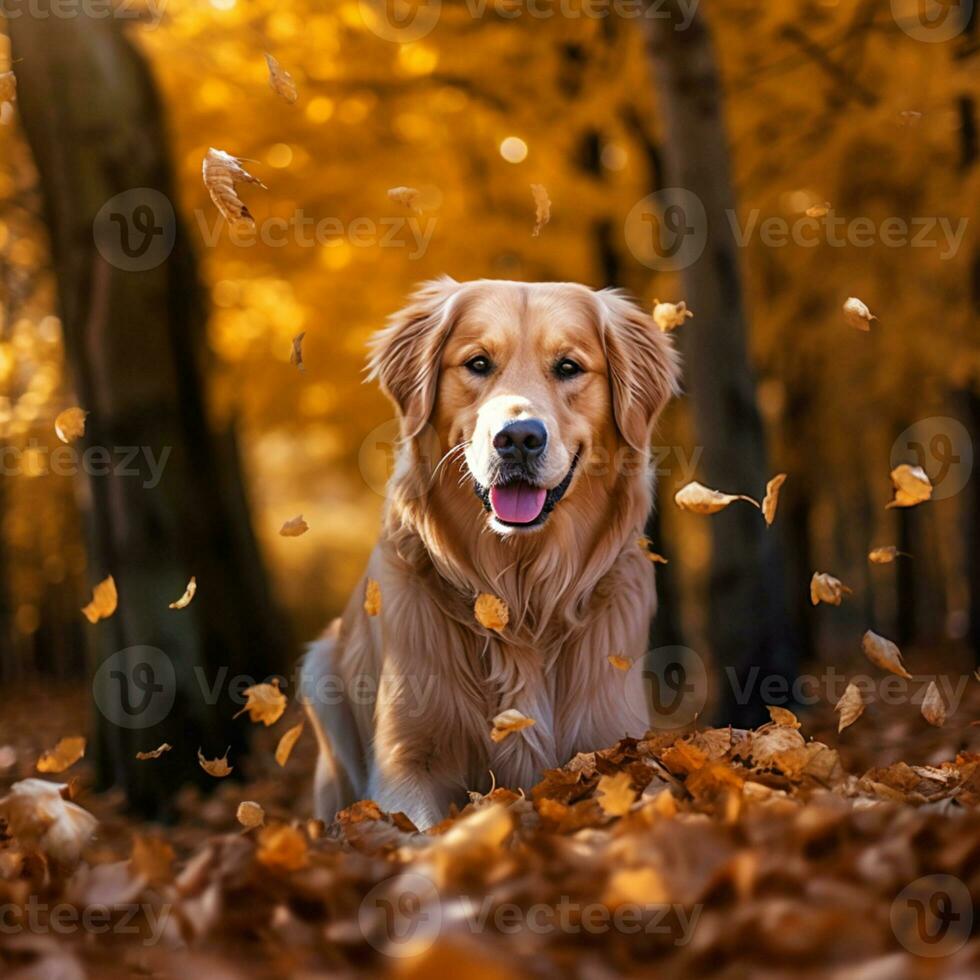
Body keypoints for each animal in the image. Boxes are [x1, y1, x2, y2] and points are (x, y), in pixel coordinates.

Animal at [302, 278, 676, 828]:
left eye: (568, 367)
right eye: (478, 363)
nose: (518, 438)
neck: (521, 594)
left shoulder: (614, 737)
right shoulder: (403, 762)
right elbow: (420, 831)